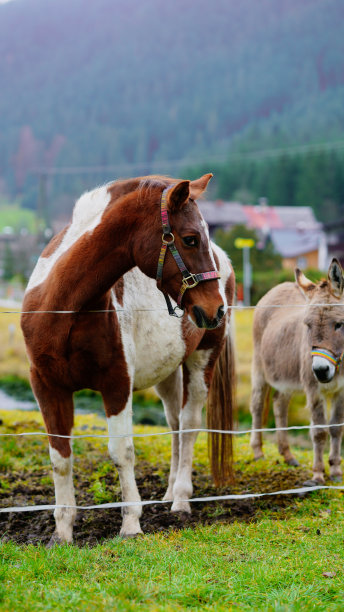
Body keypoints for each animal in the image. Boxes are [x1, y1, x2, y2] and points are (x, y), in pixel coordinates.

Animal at [20, 175, 236, 544]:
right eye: (190, 239)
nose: (215, 308)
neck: (63, 307)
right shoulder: (47, 387)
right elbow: (60, 457)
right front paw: (61, 532)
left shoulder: (117, 383)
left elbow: (122, 452)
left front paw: (131, 524)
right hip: (168, 373)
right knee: (174, 423)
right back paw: (167, 494)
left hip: (201, 361)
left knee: (189, 425)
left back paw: (181, 500)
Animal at [249, 256, 344, 486]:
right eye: (307, 325)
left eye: (339, 324)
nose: (320, 371)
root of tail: (279, 286)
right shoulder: (313, 389)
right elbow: (319, 431)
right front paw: (318, 475)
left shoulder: (342, 390)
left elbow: (337, 428)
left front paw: (336, 471)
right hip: (259, 367)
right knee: (257, 404)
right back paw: (258, 452)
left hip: (283, 377)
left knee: (279, 404)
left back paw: (288, 455)